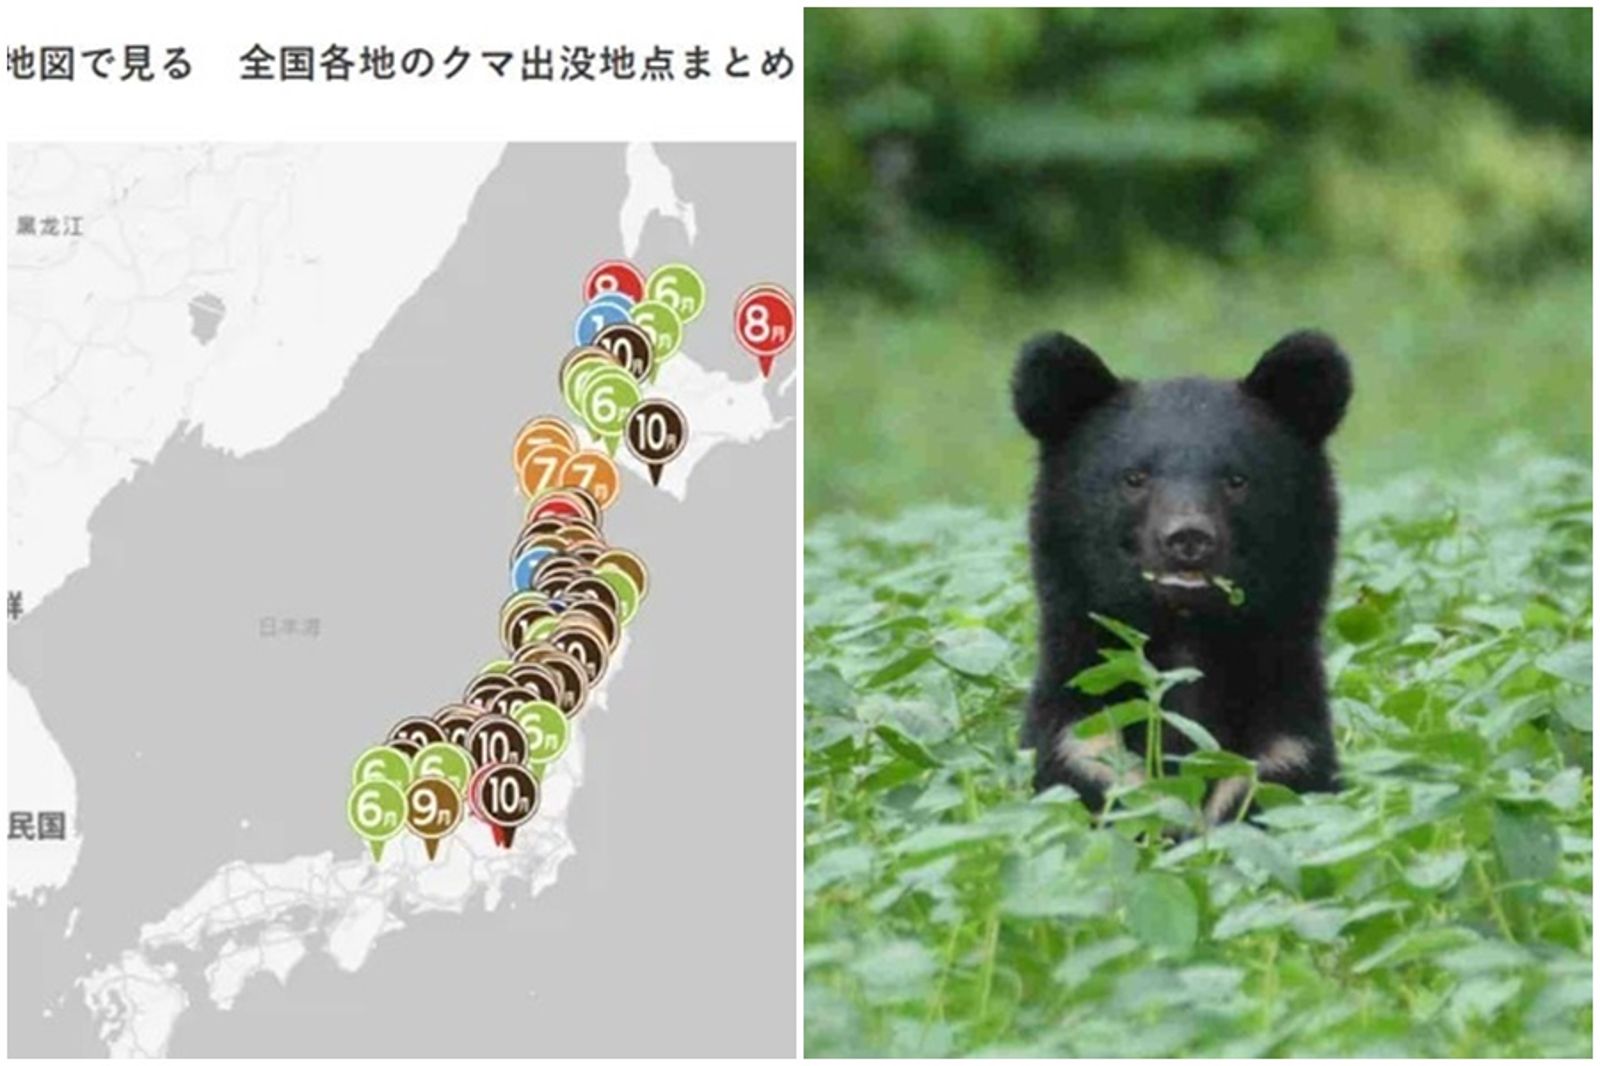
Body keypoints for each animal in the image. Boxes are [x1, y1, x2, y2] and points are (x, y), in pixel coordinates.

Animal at [1011, 329, 1350, 824]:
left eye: (1237, 479)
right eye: (1134, 477)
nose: (1188, 537)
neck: (1186, 633)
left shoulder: (1285, 754)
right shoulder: (1080, 748)